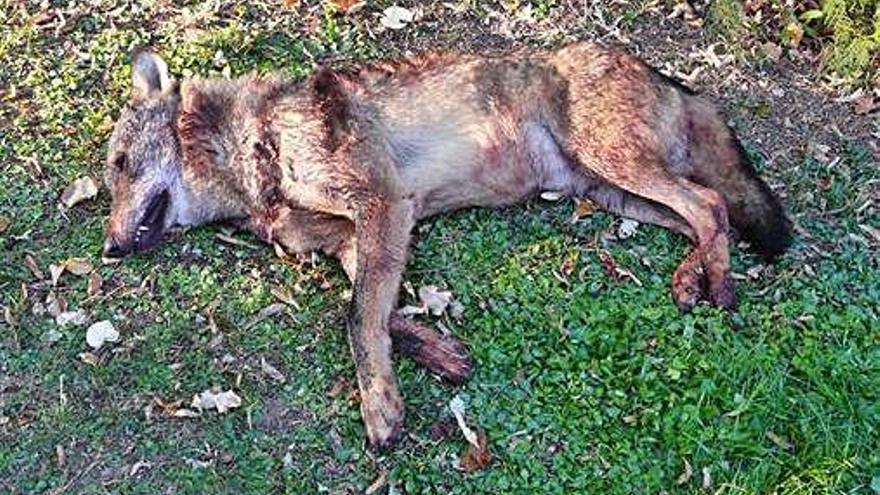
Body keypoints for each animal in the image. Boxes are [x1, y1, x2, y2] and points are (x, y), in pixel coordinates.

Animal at [101, 40, 792, 448]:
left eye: (120, 164)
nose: (107, 248)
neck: (250, 145)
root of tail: (665, 74)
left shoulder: (382, 205)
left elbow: (357, 318)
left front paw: (381, 409)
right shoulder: (360, 236)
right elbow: (378, 315)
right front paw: (440, 354)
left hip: (614, 164)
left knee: (711, 204)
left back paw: (719, 286)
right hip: (609, 191)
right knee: (708, 214)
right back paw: (692, 276)